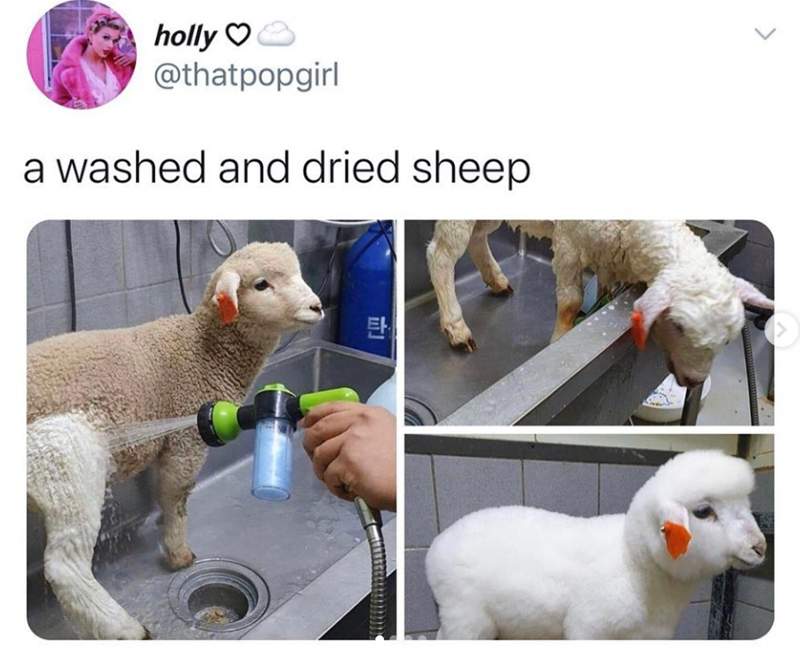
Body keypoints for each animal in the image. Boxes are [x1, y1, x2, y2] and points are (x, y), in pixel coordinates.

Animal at [27, 242, 323, 639]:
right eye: (261, 284)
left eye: (299, 273)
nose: (317, 306)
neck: (201, 351)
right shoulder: (187, 438)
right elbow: (175, 495)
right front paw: (178, 551)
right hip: (64, 466)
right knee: (66, 567)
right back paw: (127, 629)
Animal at [425, 450, 767, 640]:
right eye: (703, 512)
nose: (760, 546)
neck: (635, 565)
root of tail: (435, 548)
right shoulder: (590, 630)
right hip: (465, 618)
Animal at [426, 220, 773, 386]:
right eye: (677, 325)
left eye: (727, 340)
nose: (694, 381)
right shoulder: (569, 242)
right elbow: (570, 301)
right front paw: (560, 340)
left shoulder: (609, 258)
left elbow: (604, 289)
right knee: (441, 254)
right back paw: (456, 328)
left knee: (477, 237)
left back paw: (497, 280)